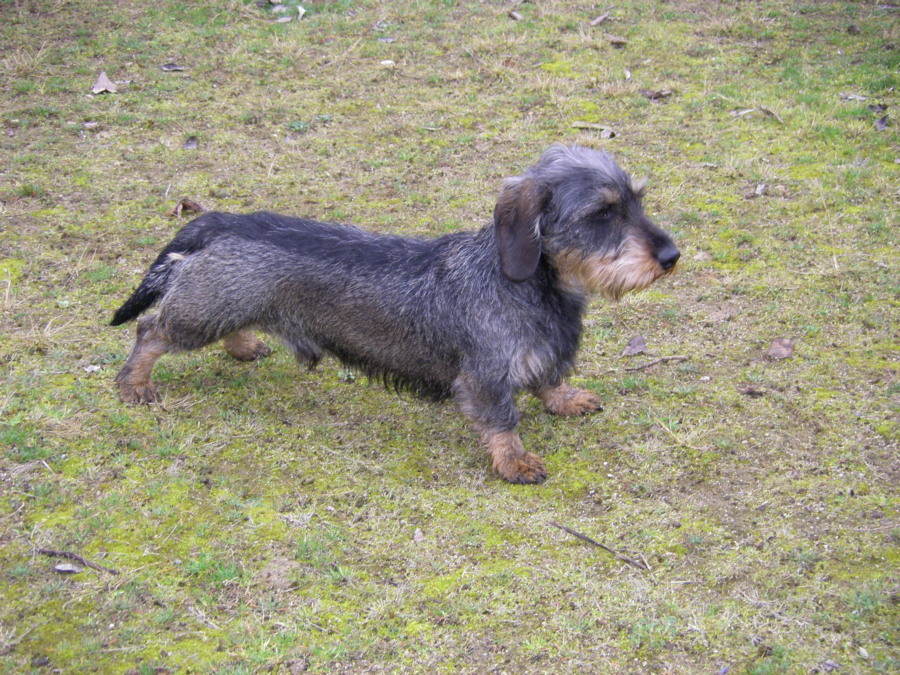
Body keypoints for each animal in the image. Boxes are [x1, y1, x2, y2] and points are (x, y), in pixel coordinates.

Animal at [111, 144, 679, 484]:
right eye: (602, 213)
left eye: (637, 202)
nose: (672, 256)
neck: (530, 284)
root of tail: (220, 222)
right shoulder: (485, 377)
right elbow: (502, 418)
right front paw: (515, 460)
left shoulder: (543, 353)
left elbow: (550, 379)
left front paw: (565, 399)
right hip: (201, 313)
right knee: (150, 329)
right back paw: (135, 384)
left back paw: (244, 346)